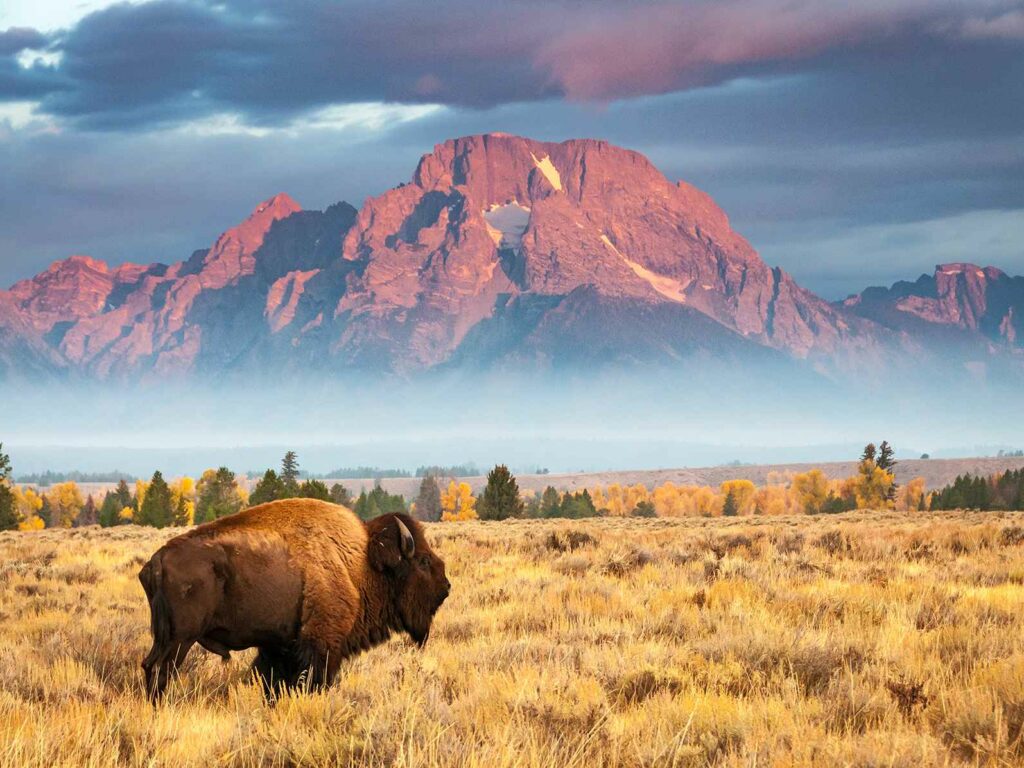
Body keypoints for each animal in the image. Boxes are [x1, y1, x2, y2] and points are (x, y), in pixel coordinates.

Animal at [138, 499, 450, 704]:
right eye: (423, 561)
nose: (446, 587)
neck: (361, 563)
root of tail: (157, 561)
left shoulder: (279, 646)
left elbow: (272, 682)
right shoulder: (322, 645)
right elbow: (314, 681)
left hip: (164, 637)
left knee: (149, 665)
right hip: (180, 639)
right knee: (161, 670)